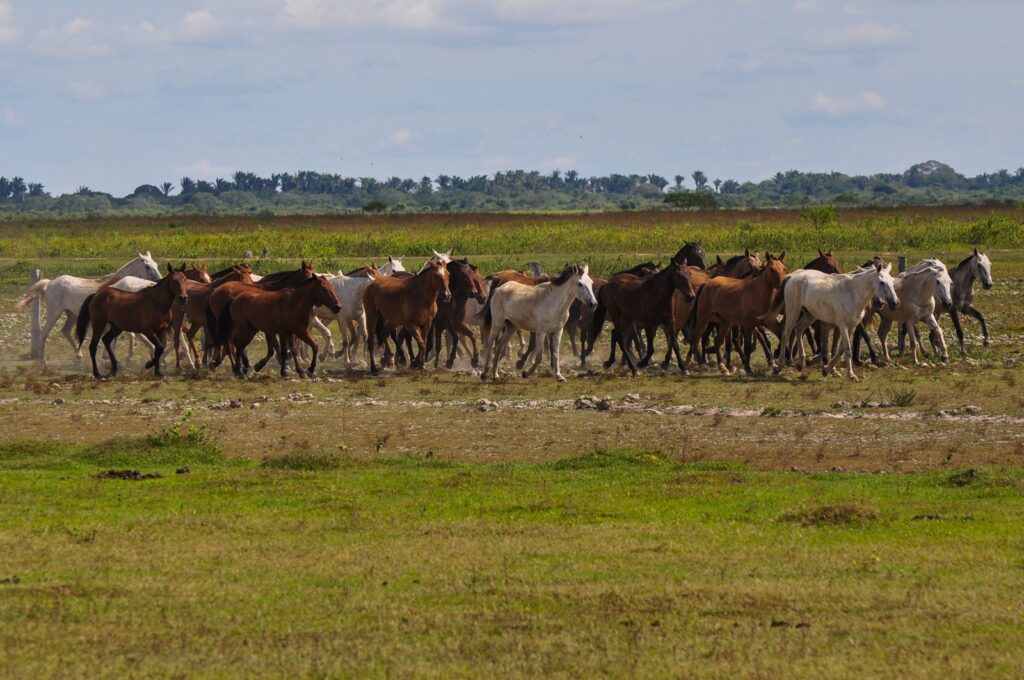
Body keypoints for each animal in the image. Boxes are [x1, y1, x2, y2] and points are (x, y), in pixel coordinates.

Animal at [19, 250, 161, 366]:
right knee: (45, 333)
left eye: (156, 265)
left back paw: (78, 356)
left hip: (71, 314)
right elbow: (129, 335)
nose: (159, 281)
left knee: (66, 331)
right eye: (147, 266)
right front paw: (126, 356)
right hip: (55, 313)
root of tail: (50, 283)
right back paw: (43, 361)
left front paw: (111, 356)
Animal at [214, 278, 342, 383]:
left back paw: (239, 370)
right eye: (324, 289)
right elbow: (284, 352)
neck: (293, 304)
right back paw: (240, 372)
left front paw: (306, 371)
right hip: (245, 330)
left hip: (251, 330)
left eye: (332, 287)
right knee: (238, 345)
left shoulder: (298, 333)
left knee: (237, 345)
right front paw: (284, 372)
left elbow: (307, 348)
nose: (338, 306)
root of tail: (234, 299)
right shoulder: (283, 333)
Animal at [770, 260, 901, 378]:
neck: (852, 294)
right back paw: (778, 367)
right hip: (793, 311)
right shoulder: (843, 325)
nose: (895, 303)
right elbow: (847, 350)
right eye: (882, 282)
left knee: (798, 329)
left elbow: (840, 349)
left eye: (892, 281)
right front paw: (851, 375)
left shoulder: (852, 326)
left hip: (810, 314)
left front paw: (826, 370)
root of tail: (793, 276)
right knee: (785, 334)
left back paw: (800, 364)